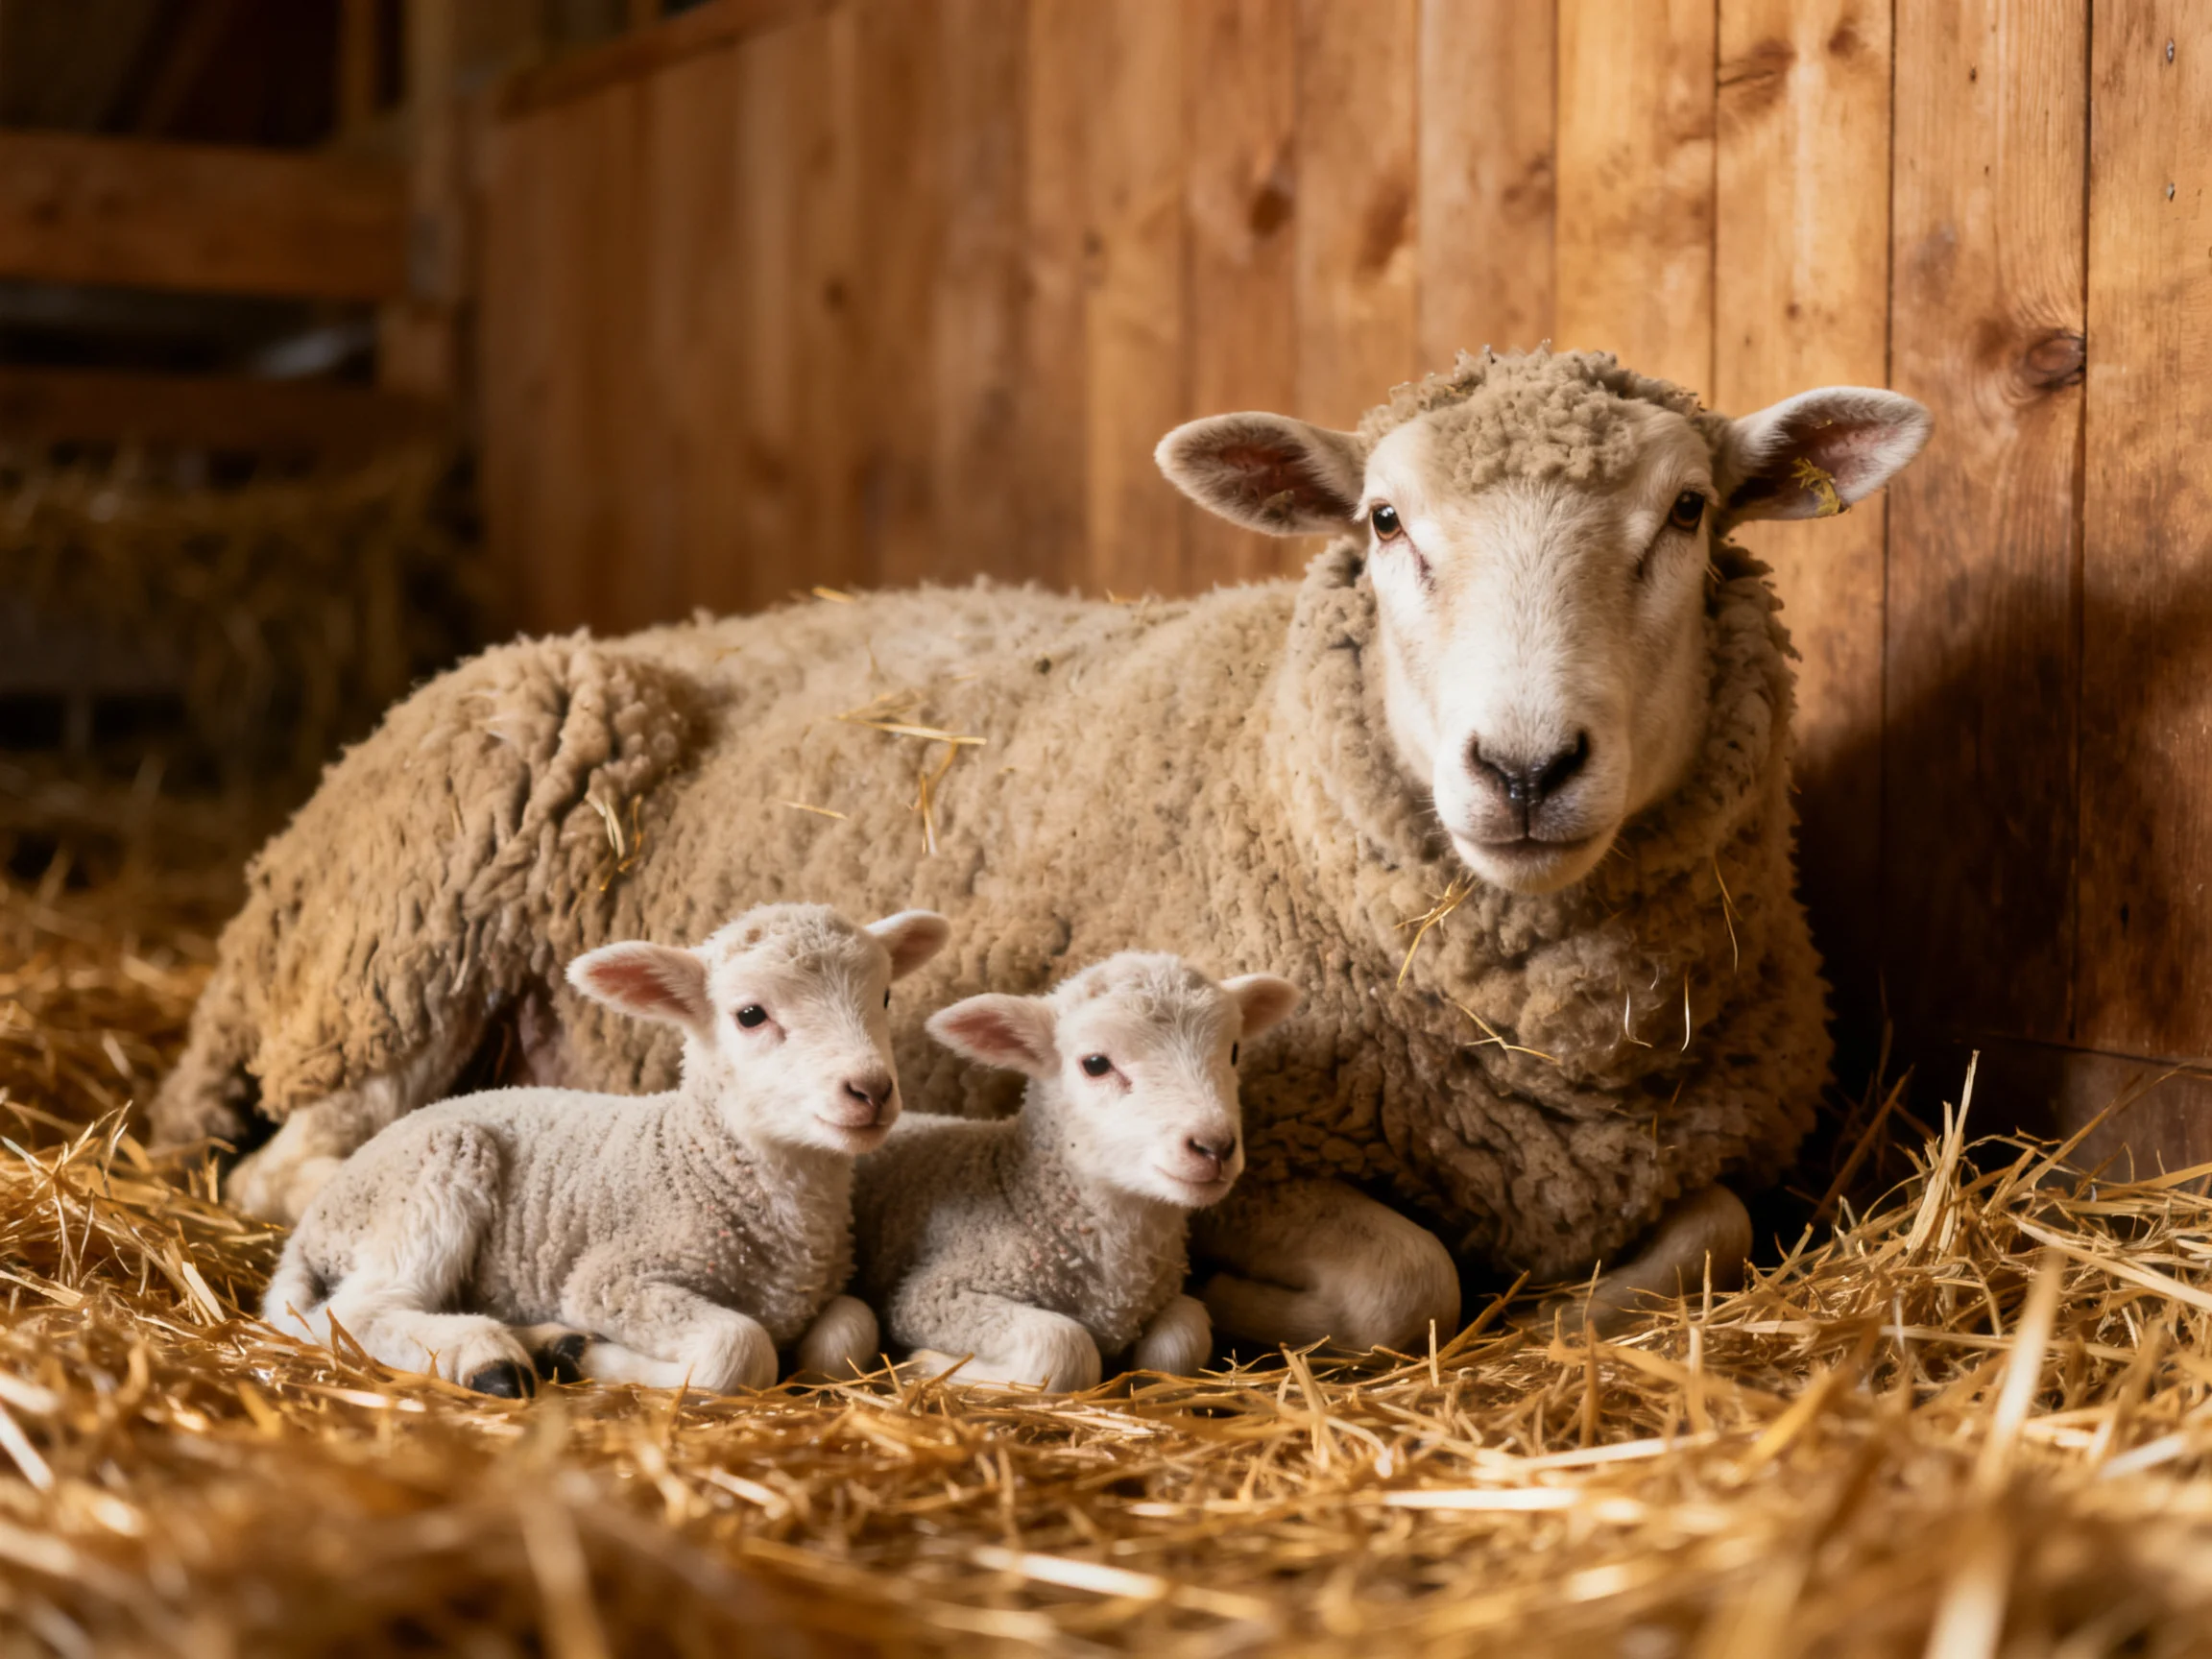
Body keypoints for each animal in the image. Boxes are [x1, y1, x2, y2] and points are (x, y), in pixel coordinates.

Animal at [261, 905, 949, 1395]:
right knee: (353, 1313)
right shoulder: (612, 1281)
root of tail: (314, 1221)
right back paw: (486, 1355)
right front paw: (605, 1360)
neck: (701, 1161)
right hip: (432, 1174)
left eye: (885, 997)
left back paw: (547, 1344)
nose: (871, 1089)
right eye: (751, 1014)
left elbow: (849, 1333)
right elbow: (737, 1350)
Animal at [850, 954, 1300, 1390]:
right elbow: (1063, 1347)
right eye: (1096, 1064)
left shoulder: (1166, 1293)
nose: (1214, 1147)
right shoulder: (932, 1294)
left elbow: (1182, 1342)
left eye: (1234, 1052)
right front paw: (924, 1364)